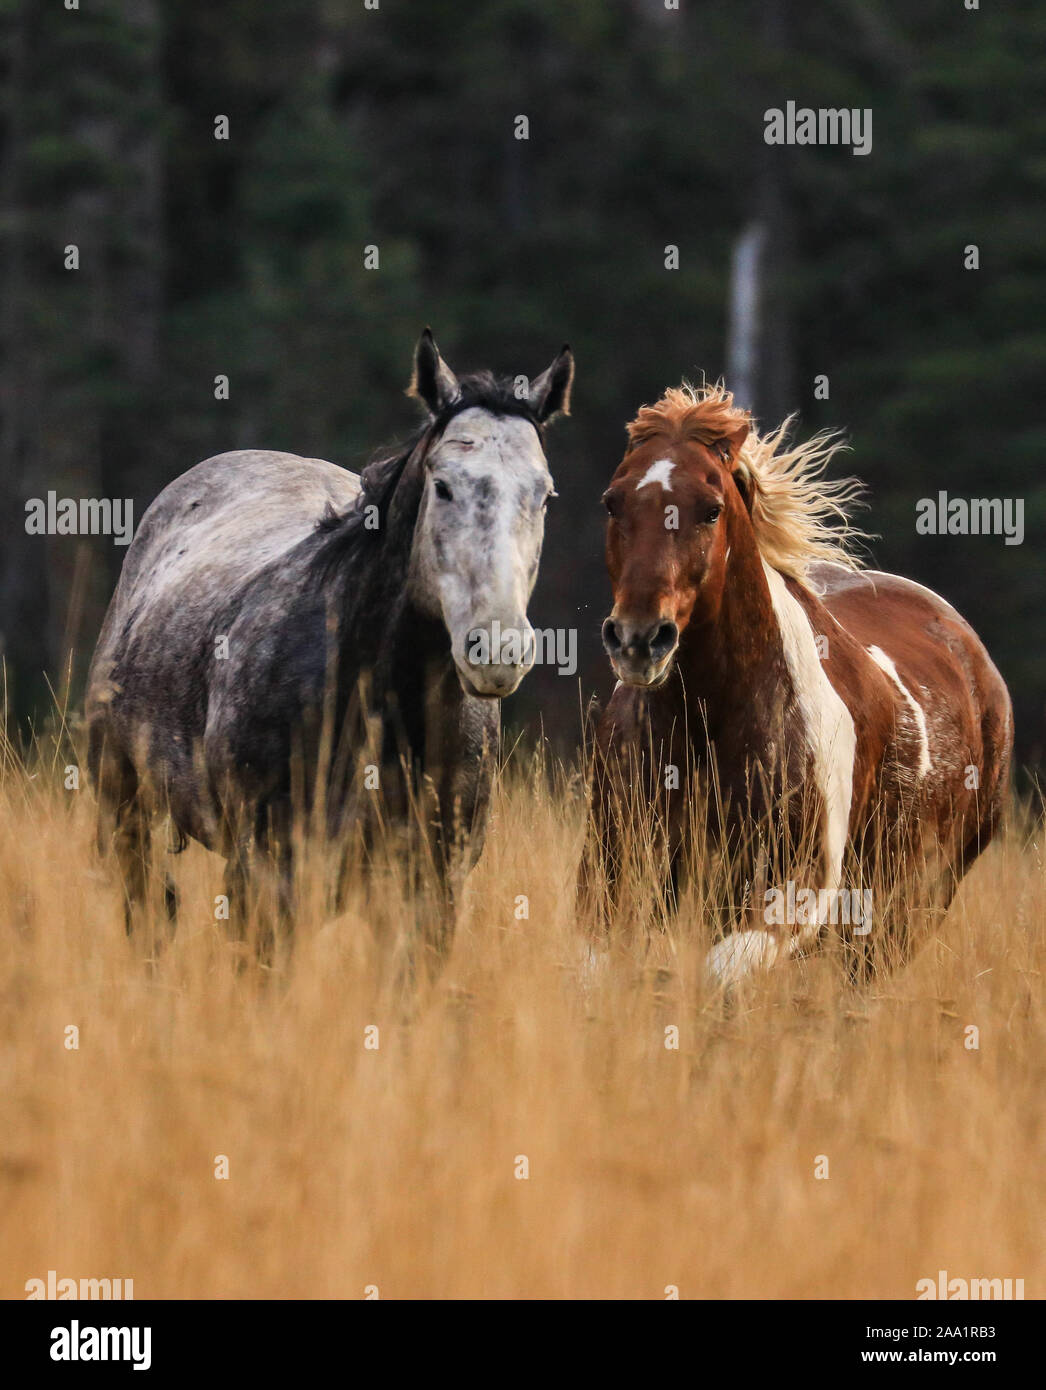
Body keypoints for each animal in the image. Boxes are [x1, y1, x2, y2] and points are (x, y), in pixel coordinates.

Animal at [583, 386, 1005, 984]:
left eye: (711, 509)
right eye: (612, 502)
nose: (639, 639)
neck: (708, 725)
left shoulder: (792, 895)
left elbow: (719, 974)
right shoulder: (610, 880)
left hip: (908, 911)